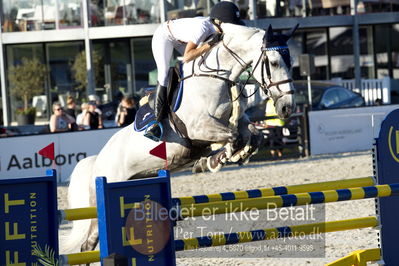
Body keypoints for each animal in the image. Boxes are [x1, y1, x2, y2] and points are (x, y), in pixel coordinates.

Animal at [62, 23, 298, 255]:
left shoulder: (236, 122)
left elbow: (253, 134)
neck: (216, 79)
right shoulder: (198, 129)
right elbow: (233, 137)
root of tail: (97, 160)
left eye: (290, 63)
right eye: (274, 62)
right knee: (88, 243)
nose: (287, 108)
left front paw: (230, 156)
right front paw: (214, 160)